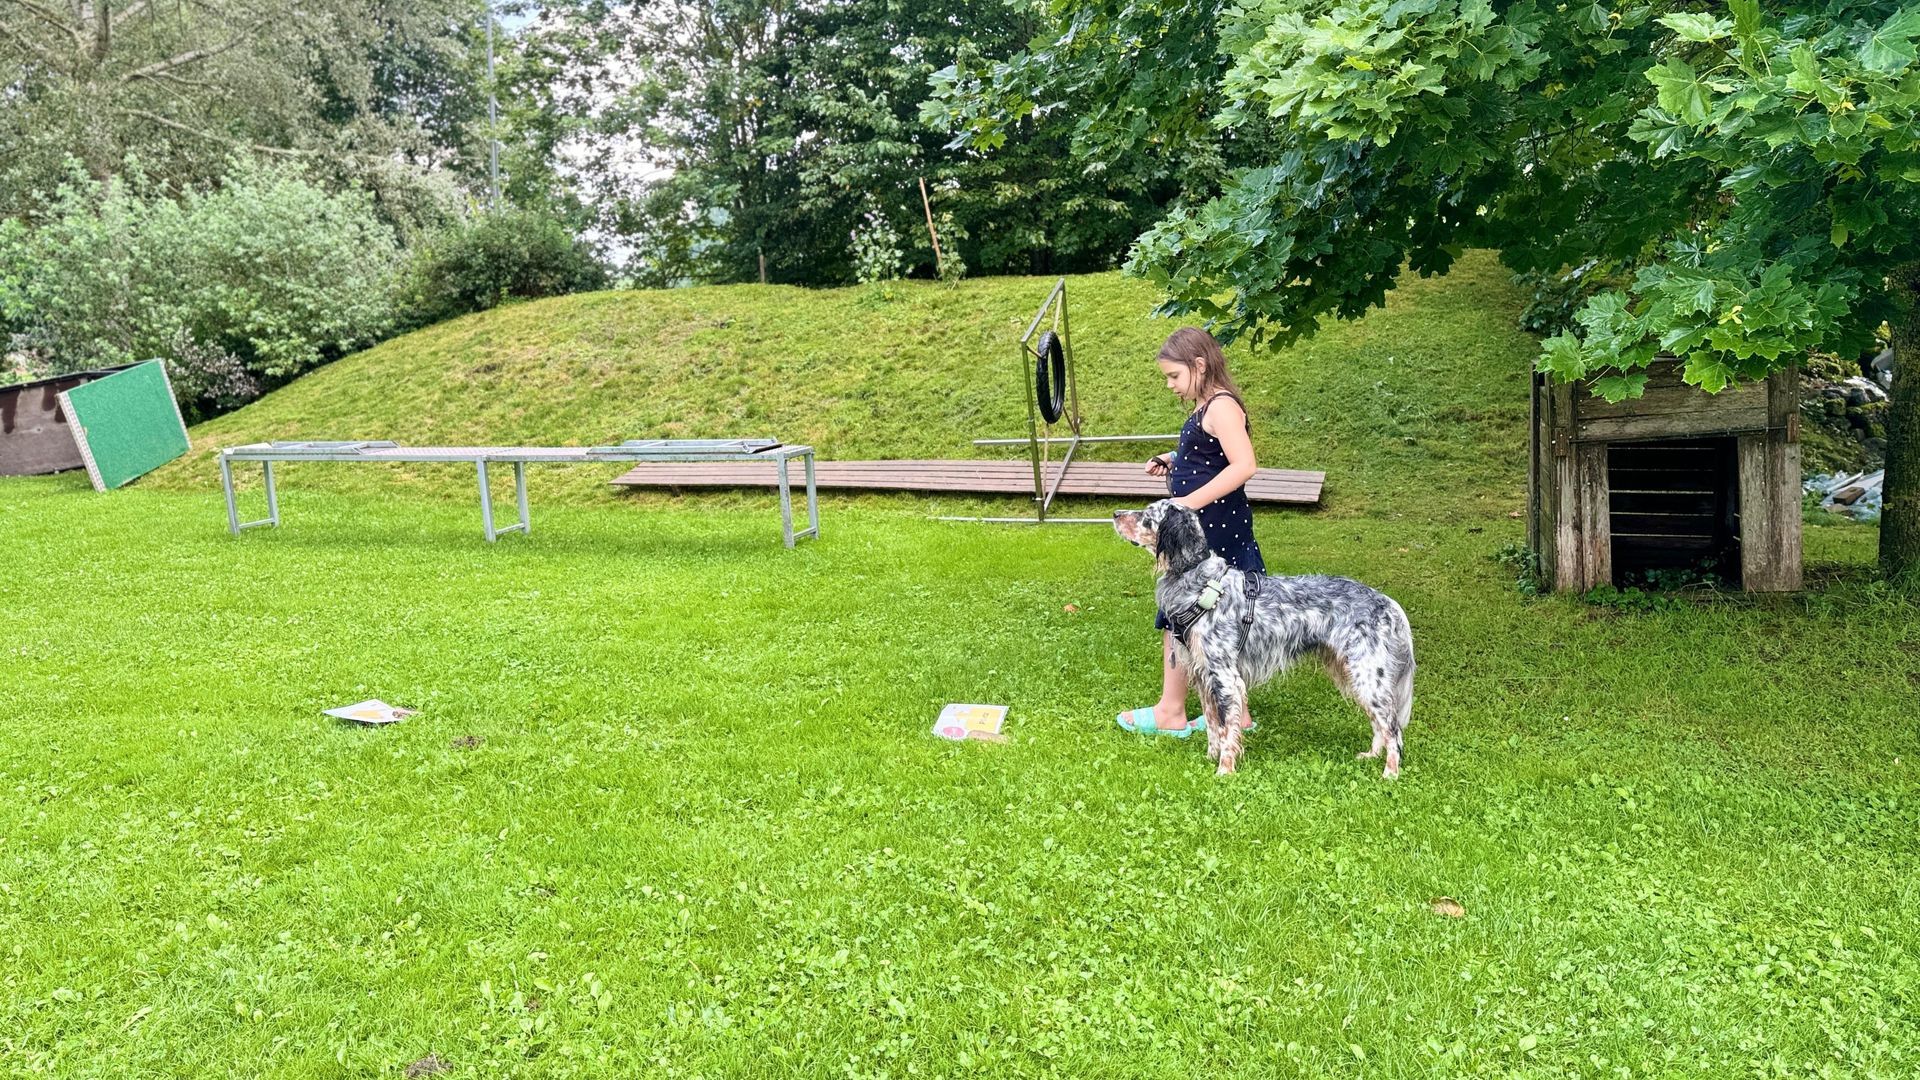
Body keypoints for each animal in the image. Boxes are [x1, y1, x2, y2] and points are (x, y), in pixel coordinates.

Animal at [1113, 500, 1416, 778]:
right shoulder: (1203, 675)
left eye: (1147, 515)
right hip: (1354, 675)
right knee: (1379, 724)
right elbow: (1212, 725)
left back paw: (1390, 773)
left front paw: (1224, 769)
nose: (1115, 514)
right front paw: (1211, 757)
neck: (1196, 578)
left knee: (1393, 728)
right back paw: (1371, 755)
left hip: (1368, 676)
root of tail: (1386, 601)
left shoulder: (1224, 676)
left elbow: (1227, 728)